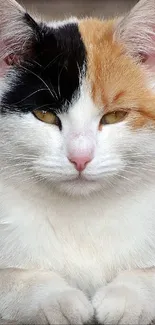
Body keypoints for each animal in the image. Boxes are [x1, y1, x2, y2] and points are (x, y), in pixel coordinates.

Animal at [0, 0, 155, 322]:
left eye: (115, 116)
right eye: (45, 115)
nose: (80, 157)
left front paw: (125, 297)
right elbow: (15, 278)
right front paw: (58, 300)